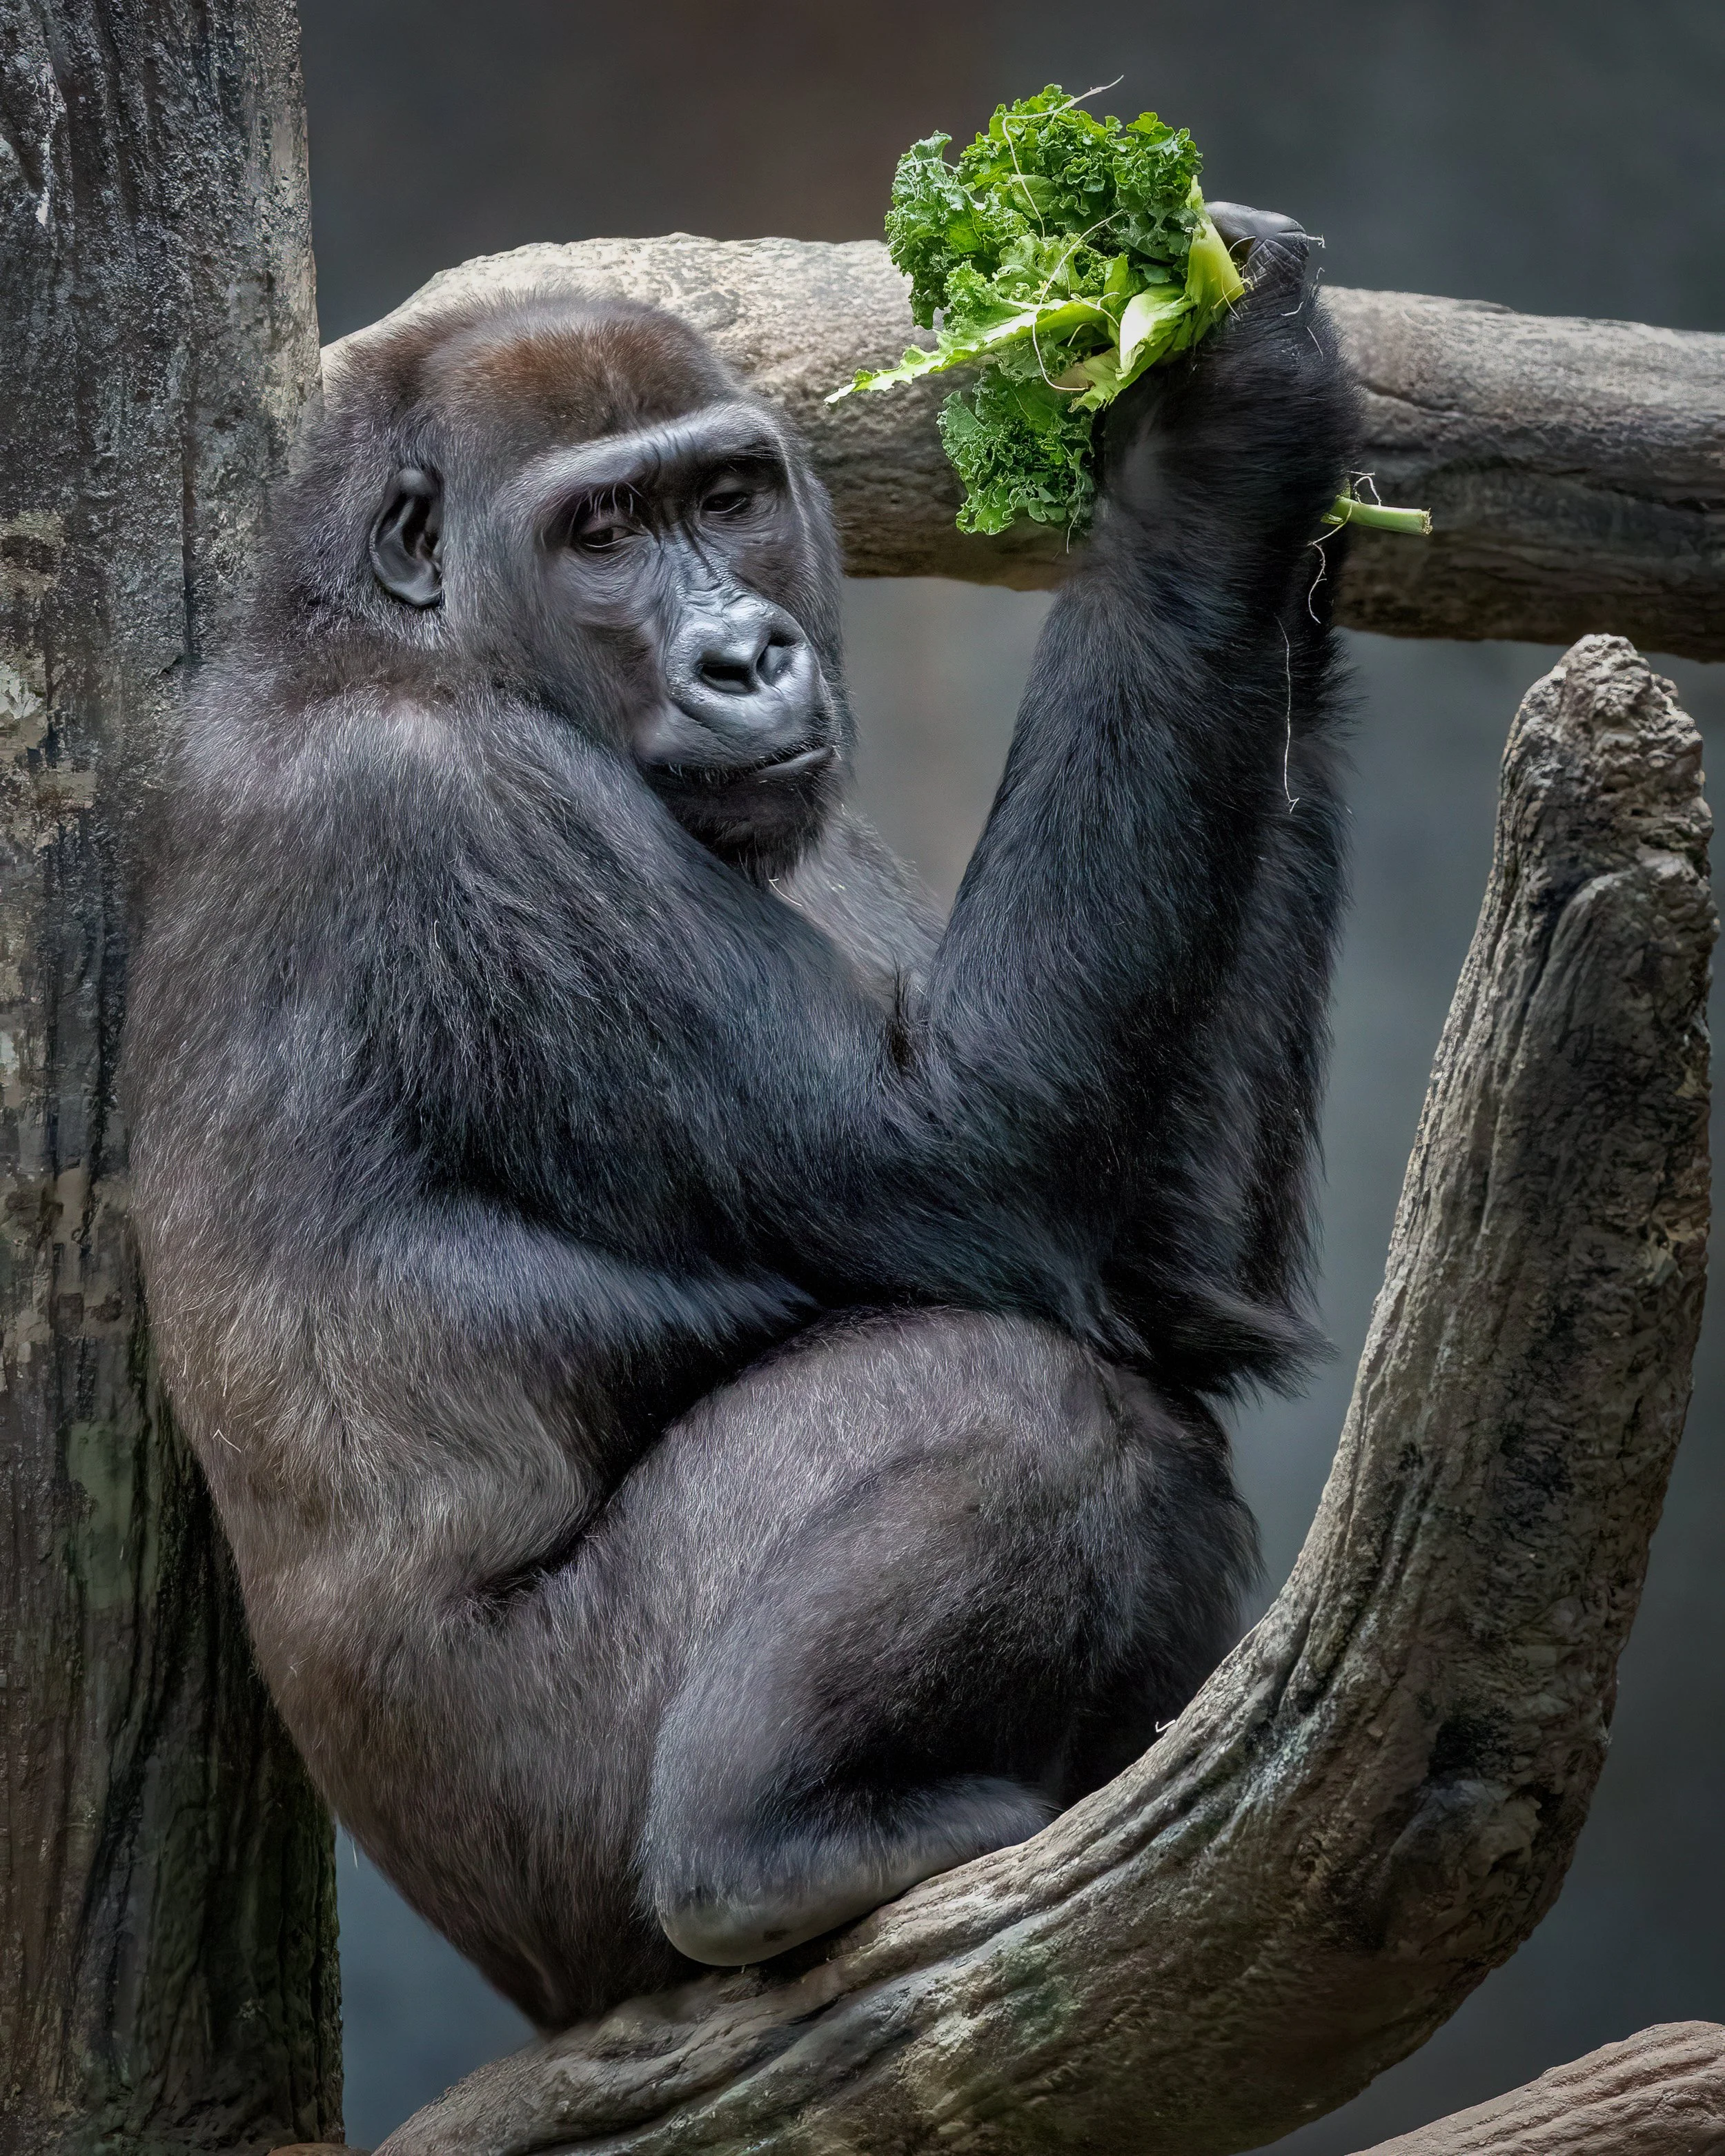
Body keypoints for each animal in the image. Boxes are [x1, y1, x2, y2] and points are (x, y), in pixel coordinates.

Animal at [121, 205, 1356, 2031]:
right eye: (602, 530)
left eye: (723, 498)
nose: (745, 654)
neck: (397, 634)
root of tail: (541, 1990)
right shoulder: (451, 812)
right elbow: (981, 1156)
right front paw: (1213, 439)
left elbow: (1158, 1268)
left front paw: (1307, 498)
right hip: (558, 1865)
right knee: (1037, 1401)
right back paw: (769, 1848)